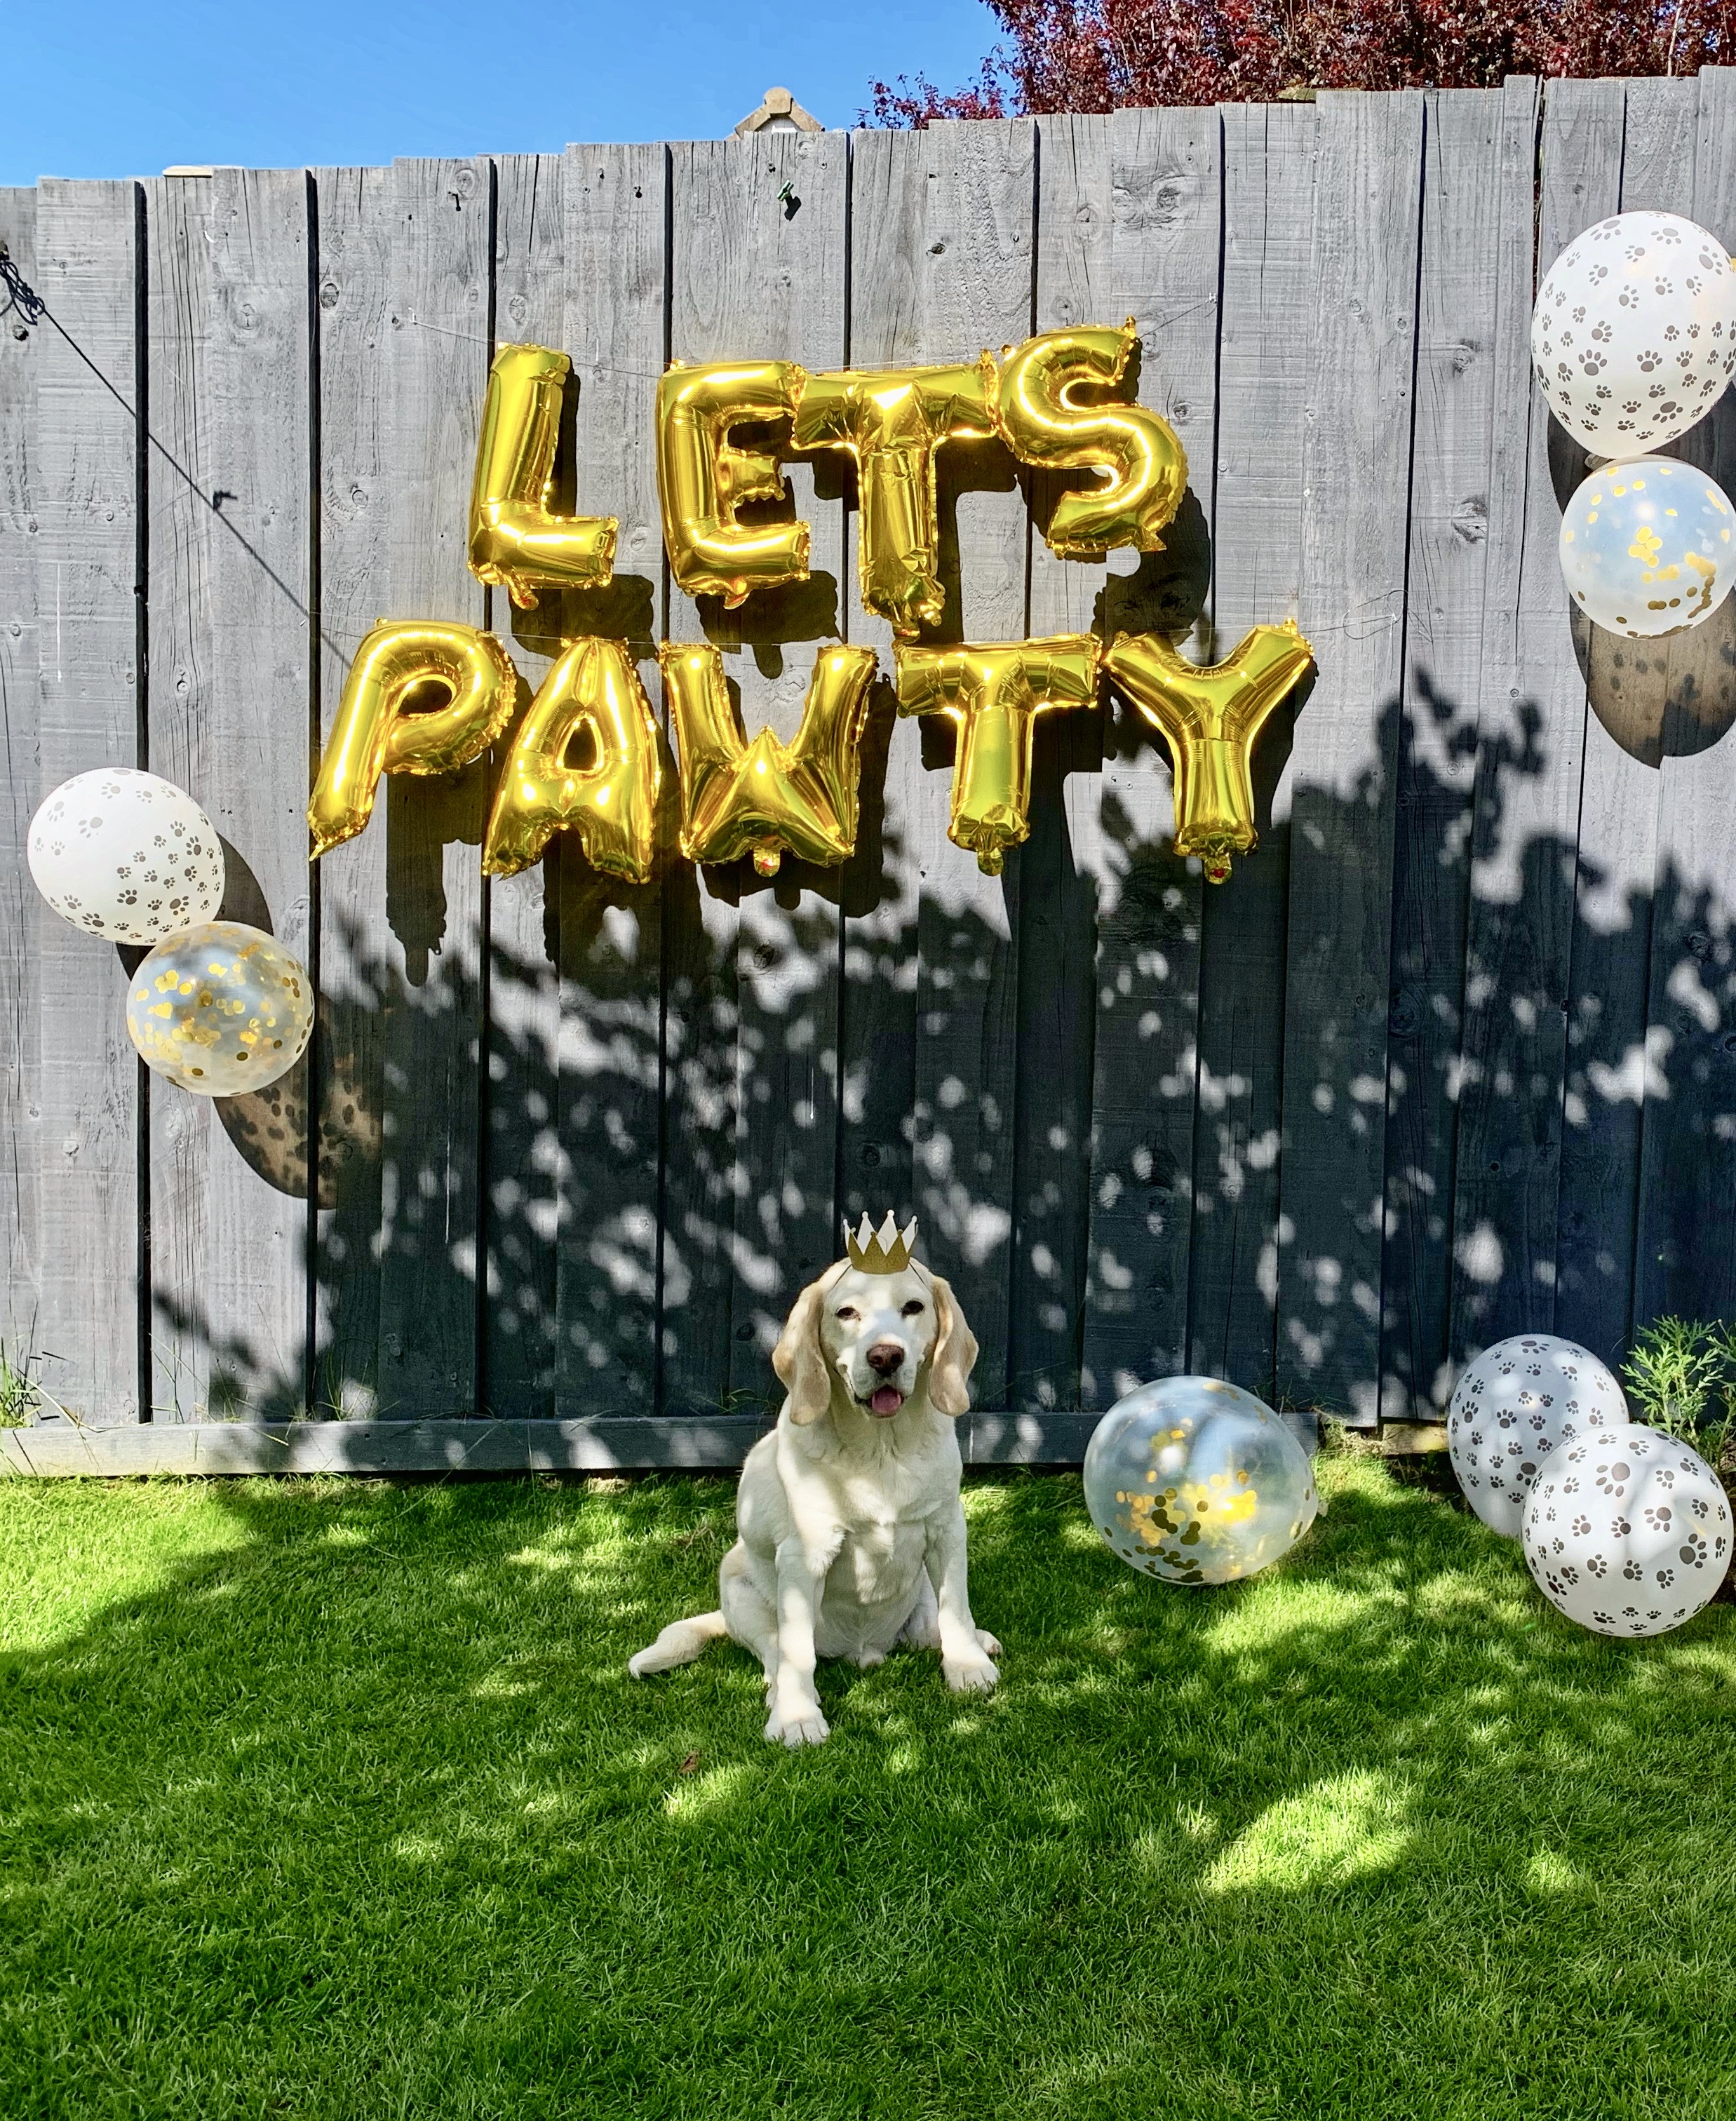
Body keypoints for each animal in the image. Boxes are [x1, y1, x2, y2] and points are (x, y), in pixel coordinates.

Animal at [628, 1214, 1002, 1746]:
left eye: (913, 1307)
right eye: (846, 1313)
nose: (885, 1357)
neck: (881, 1449)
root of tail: (864, 1650)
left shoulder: (947, 1530)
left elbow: (957, 1607)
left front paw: (966, 1667)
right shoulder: (805, 1554)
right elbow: (796, 1651)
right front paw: (796, 1718)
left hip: (920, 1589)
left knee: (927, 1629)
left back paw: (974, 1642)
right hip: (738, 1588)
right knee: (776, 1651)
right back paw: (778, 1690)